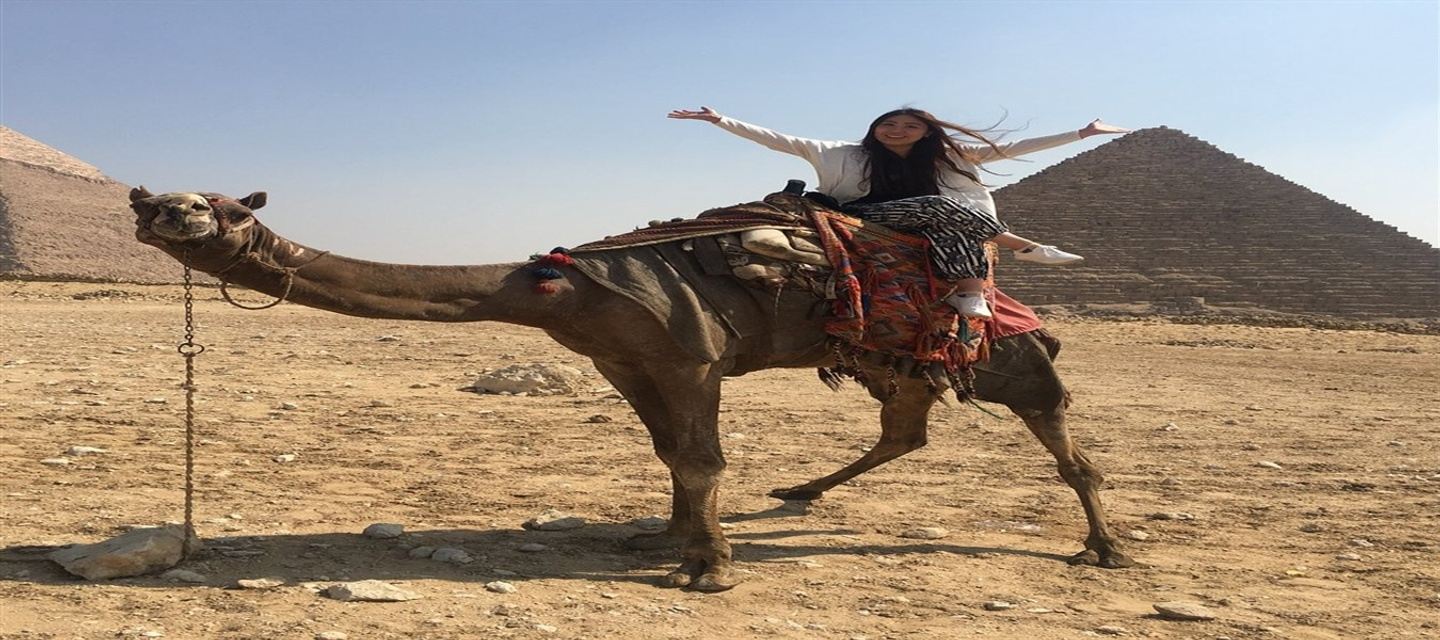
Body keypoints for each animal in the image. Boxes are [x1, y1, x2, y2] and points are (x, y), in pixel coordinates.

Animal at [129, 187, 1128, 593]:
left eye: (220, 205)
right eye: (158, 199)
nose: (158, 208)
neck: (555, 288)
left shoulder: (690, 354)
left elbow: (701, 457)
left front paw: (709, 568)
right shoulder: (621, 357)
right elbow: (671, 455)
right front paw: (665, 540)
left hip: (1003, 356)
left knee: (1059, 429)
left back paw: (1106, 547)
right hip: (898, 362)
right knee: (905, 429)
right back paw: (799, 492)